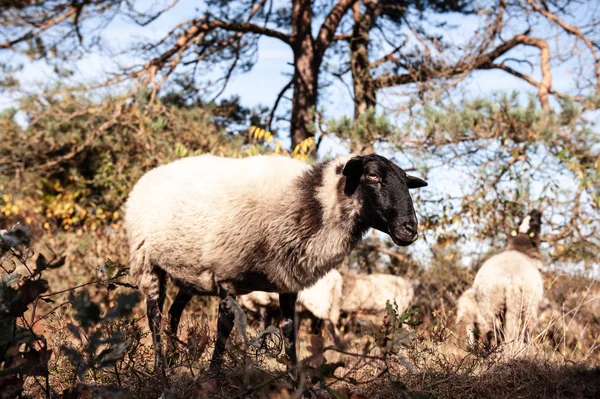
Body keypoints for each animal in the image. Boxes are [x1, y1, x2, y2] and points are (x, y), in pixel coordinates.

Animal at [123, 153, 426, 378]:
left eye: (406, 182)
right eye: (372, 175)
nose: (410, 229)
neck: (309, 202)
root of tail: (151, 174)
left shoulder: (288, 281)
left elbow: (290, 332)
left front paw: (295, 383)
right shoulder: (227, 275)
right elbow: (224, 327)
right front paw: (213, 378)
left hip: (189, 275)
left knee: (174, 314)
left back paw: (173, 363)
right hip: (147, 262)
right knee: (155, 315)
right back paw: (160, 370)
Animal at [458, 211, 548, 348]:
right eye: (537, 222)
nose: (536, 211)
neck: (521, 247)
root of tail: (511, 279)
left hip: (490, 305)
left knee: (489, 330)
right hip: (527, 305)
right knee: (522, 330)